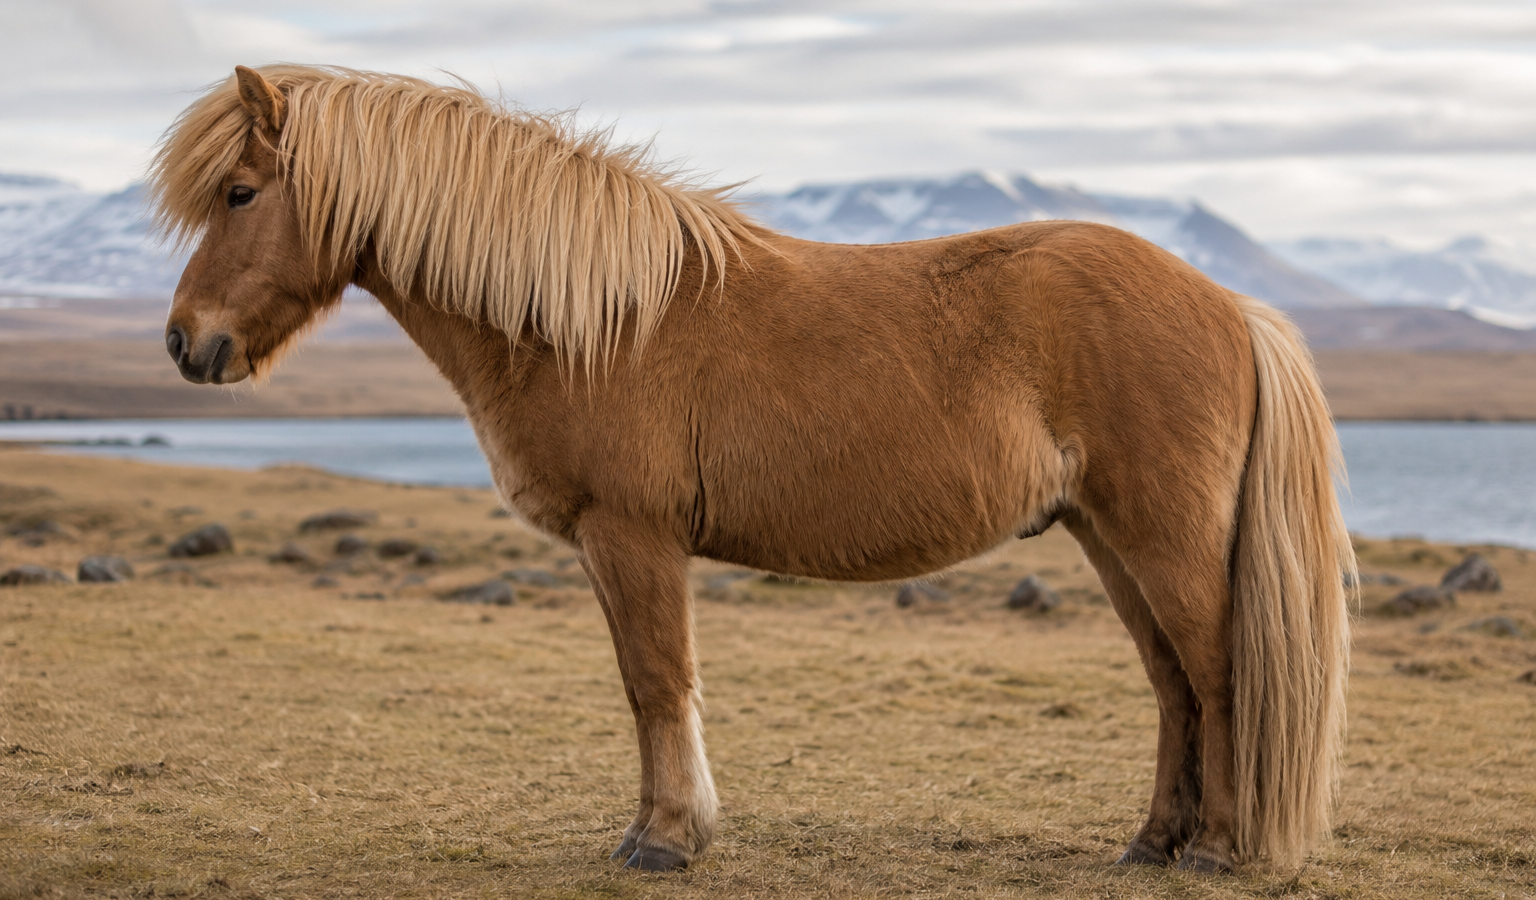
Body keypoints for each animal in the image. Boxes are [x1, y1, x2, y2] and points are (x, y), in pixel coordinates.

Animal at [150, 64, 1355, 875]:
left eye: (242, 193)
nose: (185, 344)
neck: (590, 321)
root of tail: (1228, 304)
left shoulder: (632, 536)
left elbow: (657, 683)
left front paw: (666, 842)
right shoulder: (609, 546)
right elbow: (644, 688)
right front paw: (659, 831)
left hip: (1166, 537)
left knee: (1219, 673)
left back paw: (1218, 851)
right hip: (1106, 536)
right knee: (1173, 685)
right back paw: (1154, 843)